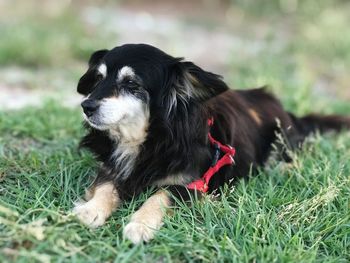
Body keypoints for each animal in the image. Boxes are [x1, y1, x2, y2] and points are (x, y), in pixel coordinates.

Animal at [72, 42, 350, 243]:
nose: (86, 106)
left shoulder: (193, 185)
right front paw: (90, 210)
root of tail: (286, 111)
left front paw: (140, 224)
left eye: (131, 83)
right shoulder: (111, 169)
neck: (145, 140)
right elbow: (106, 187)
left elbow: (161, 195)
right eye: (98, 79)